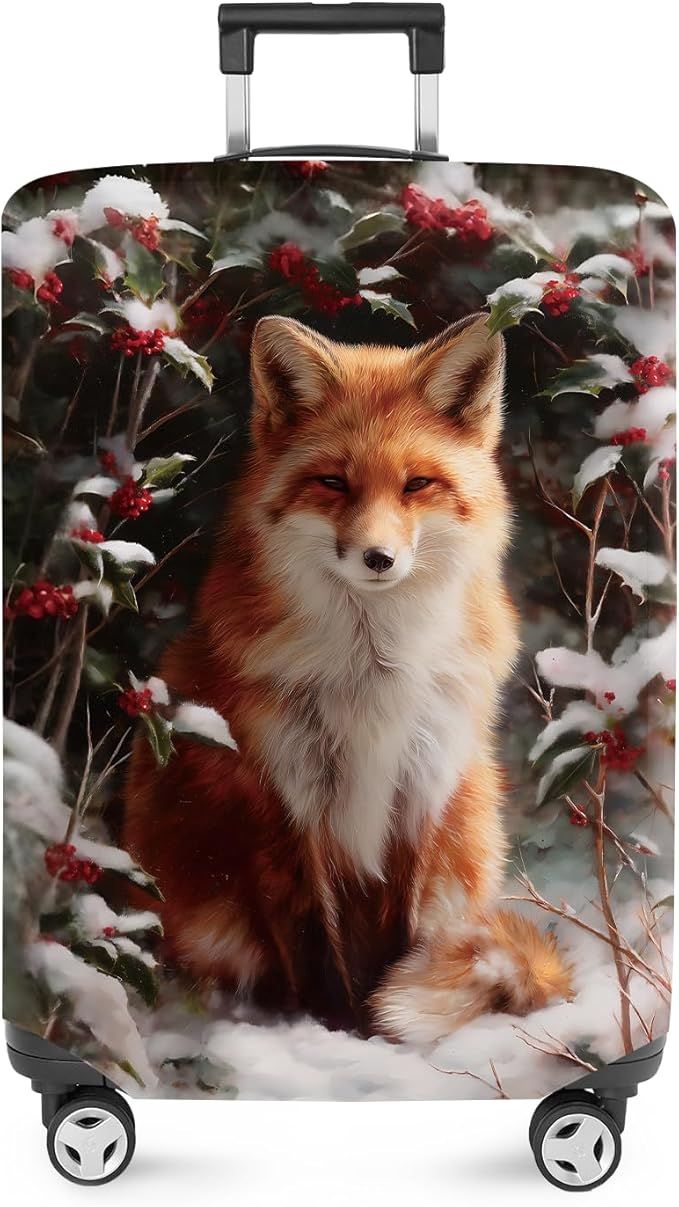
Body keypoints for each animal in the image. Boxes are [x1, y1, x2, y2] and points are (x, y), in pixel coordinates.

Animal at [122, 311, 572, 1041]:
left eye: (416, 484)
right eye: (333, 482)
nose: (378, 557)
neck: (374, 670)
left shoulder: (417, 790)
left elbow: (398, 940)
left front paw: (375, 1028)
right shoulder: (280, 802)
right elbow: (311, 945)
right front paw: (330, 1028)